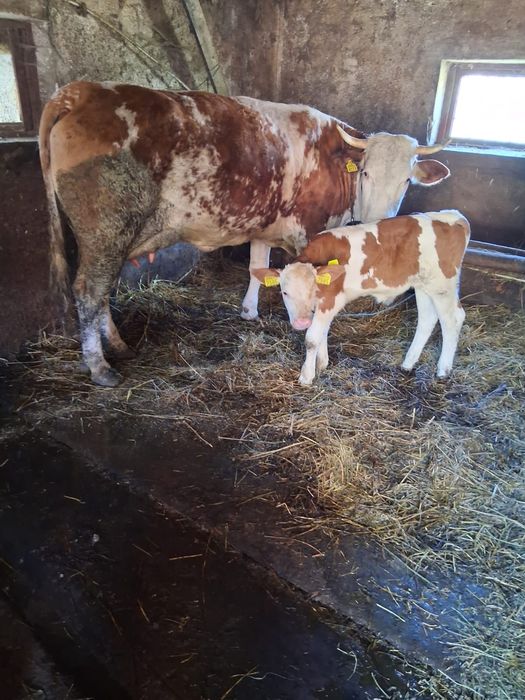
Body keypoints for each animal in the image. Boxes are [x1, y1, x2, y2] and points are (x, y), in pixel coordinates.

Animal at [252, 211, 470, 386]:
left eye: (313, 289)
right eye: (284, 292)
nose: (301, 322)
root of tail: (454, 217)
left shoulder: (330, 299)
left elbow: (312, 338)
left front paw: (307, 376)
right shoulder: (325, 304)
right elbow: (323, 332)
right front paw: (322, 364)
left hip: (443, 285)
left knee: (453, 319)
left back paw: (443, 370)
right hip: (423, 285)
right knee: (427, 319)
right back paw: (408, 363)